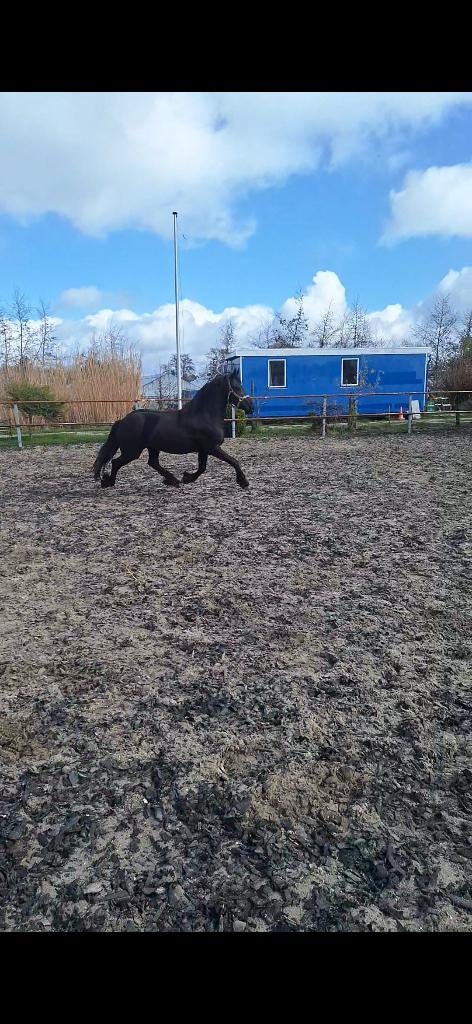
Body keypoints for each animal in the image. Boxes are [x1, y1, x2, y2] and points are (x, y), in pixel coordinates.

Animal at [93, 372, 254, 490]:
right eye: (236, 387)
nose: (250, 406)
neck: (204, 415)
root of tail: (122, 421)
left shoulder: (204, 449)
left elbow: (202, 468)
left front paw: (187, 478)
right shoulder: (212, 447)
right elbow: (233, 461)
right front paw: (243, 482)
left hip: (152, 447)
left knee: (152, 463)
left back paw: (172, 480)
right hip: (132, 451)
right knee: (116, 462)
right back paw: (108, 482)